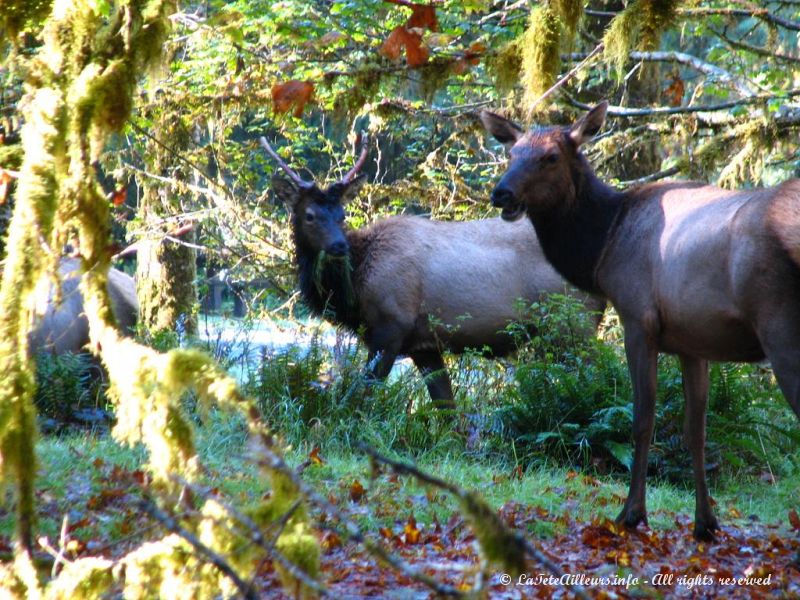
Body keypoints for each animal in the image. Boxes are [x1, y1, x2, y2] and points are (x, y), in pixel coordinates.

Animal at [264, 135, 608, 408]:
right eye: (310, 215)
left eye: (342, 214)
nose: (338, 246)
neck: (354, 292)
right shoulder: (424, 344)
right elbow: (446, 407)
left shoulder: (392, 323)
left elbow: (364, 395)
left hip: (572, 320)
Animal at [482, 103, 800, 544]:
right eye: (511, 153)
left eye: (551, 157)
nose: (502, 193)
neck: (604, 245)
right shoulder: (692, 341)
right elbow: (696, 430)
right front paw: (706, 522)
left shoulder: (637, 319)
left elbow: (642, 419)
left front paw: (631, 513)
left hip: (780, 325)